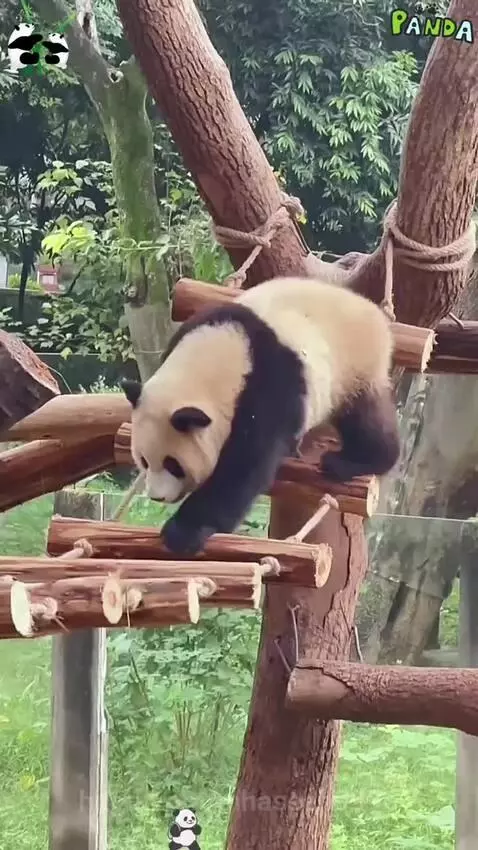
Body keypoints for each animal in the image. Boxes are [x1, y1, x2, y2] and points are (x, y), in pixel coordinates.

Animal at [122, 276, 401, 556]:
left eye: (173, 464)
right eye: (143, 460)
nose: (156, 496)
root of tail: (372, 312)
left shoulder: (269, 388)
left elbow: (244, 466)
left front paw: (182, 532)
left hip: (353, 366)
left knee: (364, 420)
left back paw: (354, 460)